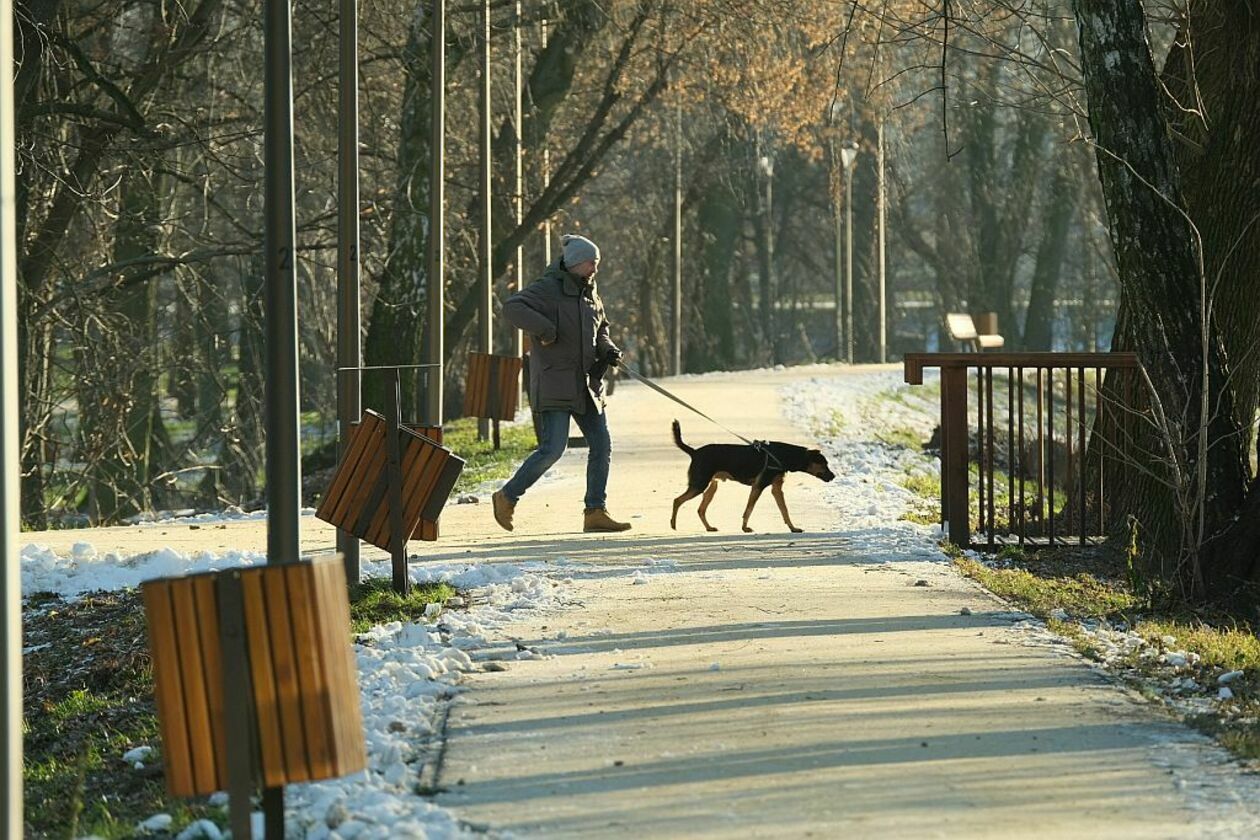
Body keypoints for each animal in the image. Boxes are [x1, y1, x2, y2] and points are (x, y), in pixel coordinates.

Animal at [670, 420, 836, 531]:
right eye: (824, 464)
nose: (833, 476)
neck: (784, 455)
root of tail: (694, 452)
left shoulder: (776, 489)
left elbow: (784, 510)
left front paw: (793, 528)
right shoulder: (758, 486)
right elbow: (749, 509)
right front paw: (745, 528)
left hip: (712, 486)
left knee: (700, 509)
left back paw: (709, 527)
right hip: (699, 484)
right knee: (677, 500)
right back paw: (673, 524)